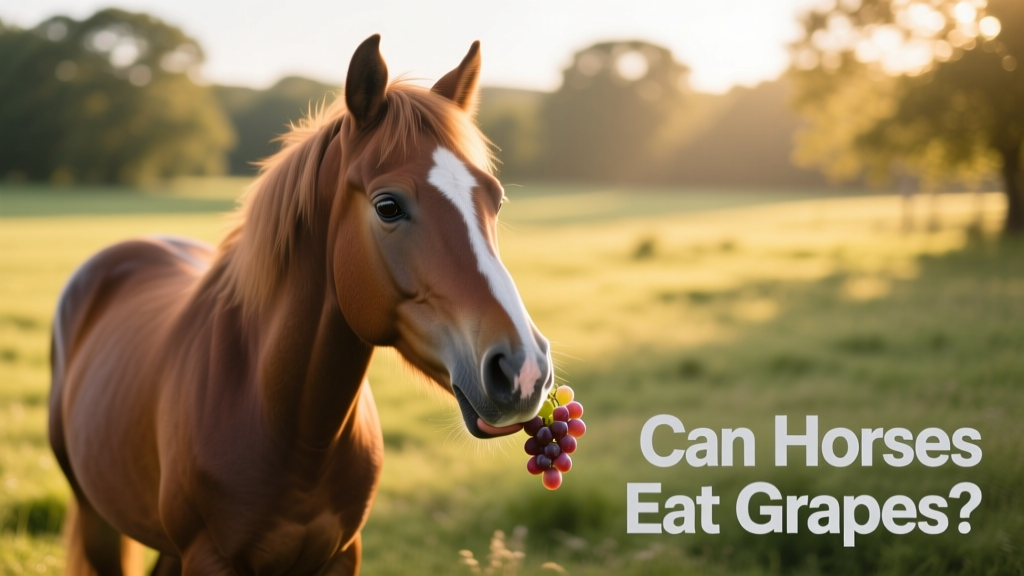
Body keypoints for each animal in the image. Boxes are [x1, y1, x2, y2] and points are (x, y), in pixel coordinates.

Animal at [48, 34, 553, 576]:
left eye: (496, 200)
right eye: (388, 206)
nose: (523, 369)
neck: (289, 423)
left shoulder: (341, 554)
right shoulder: (209, 557)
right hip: (96, 517)